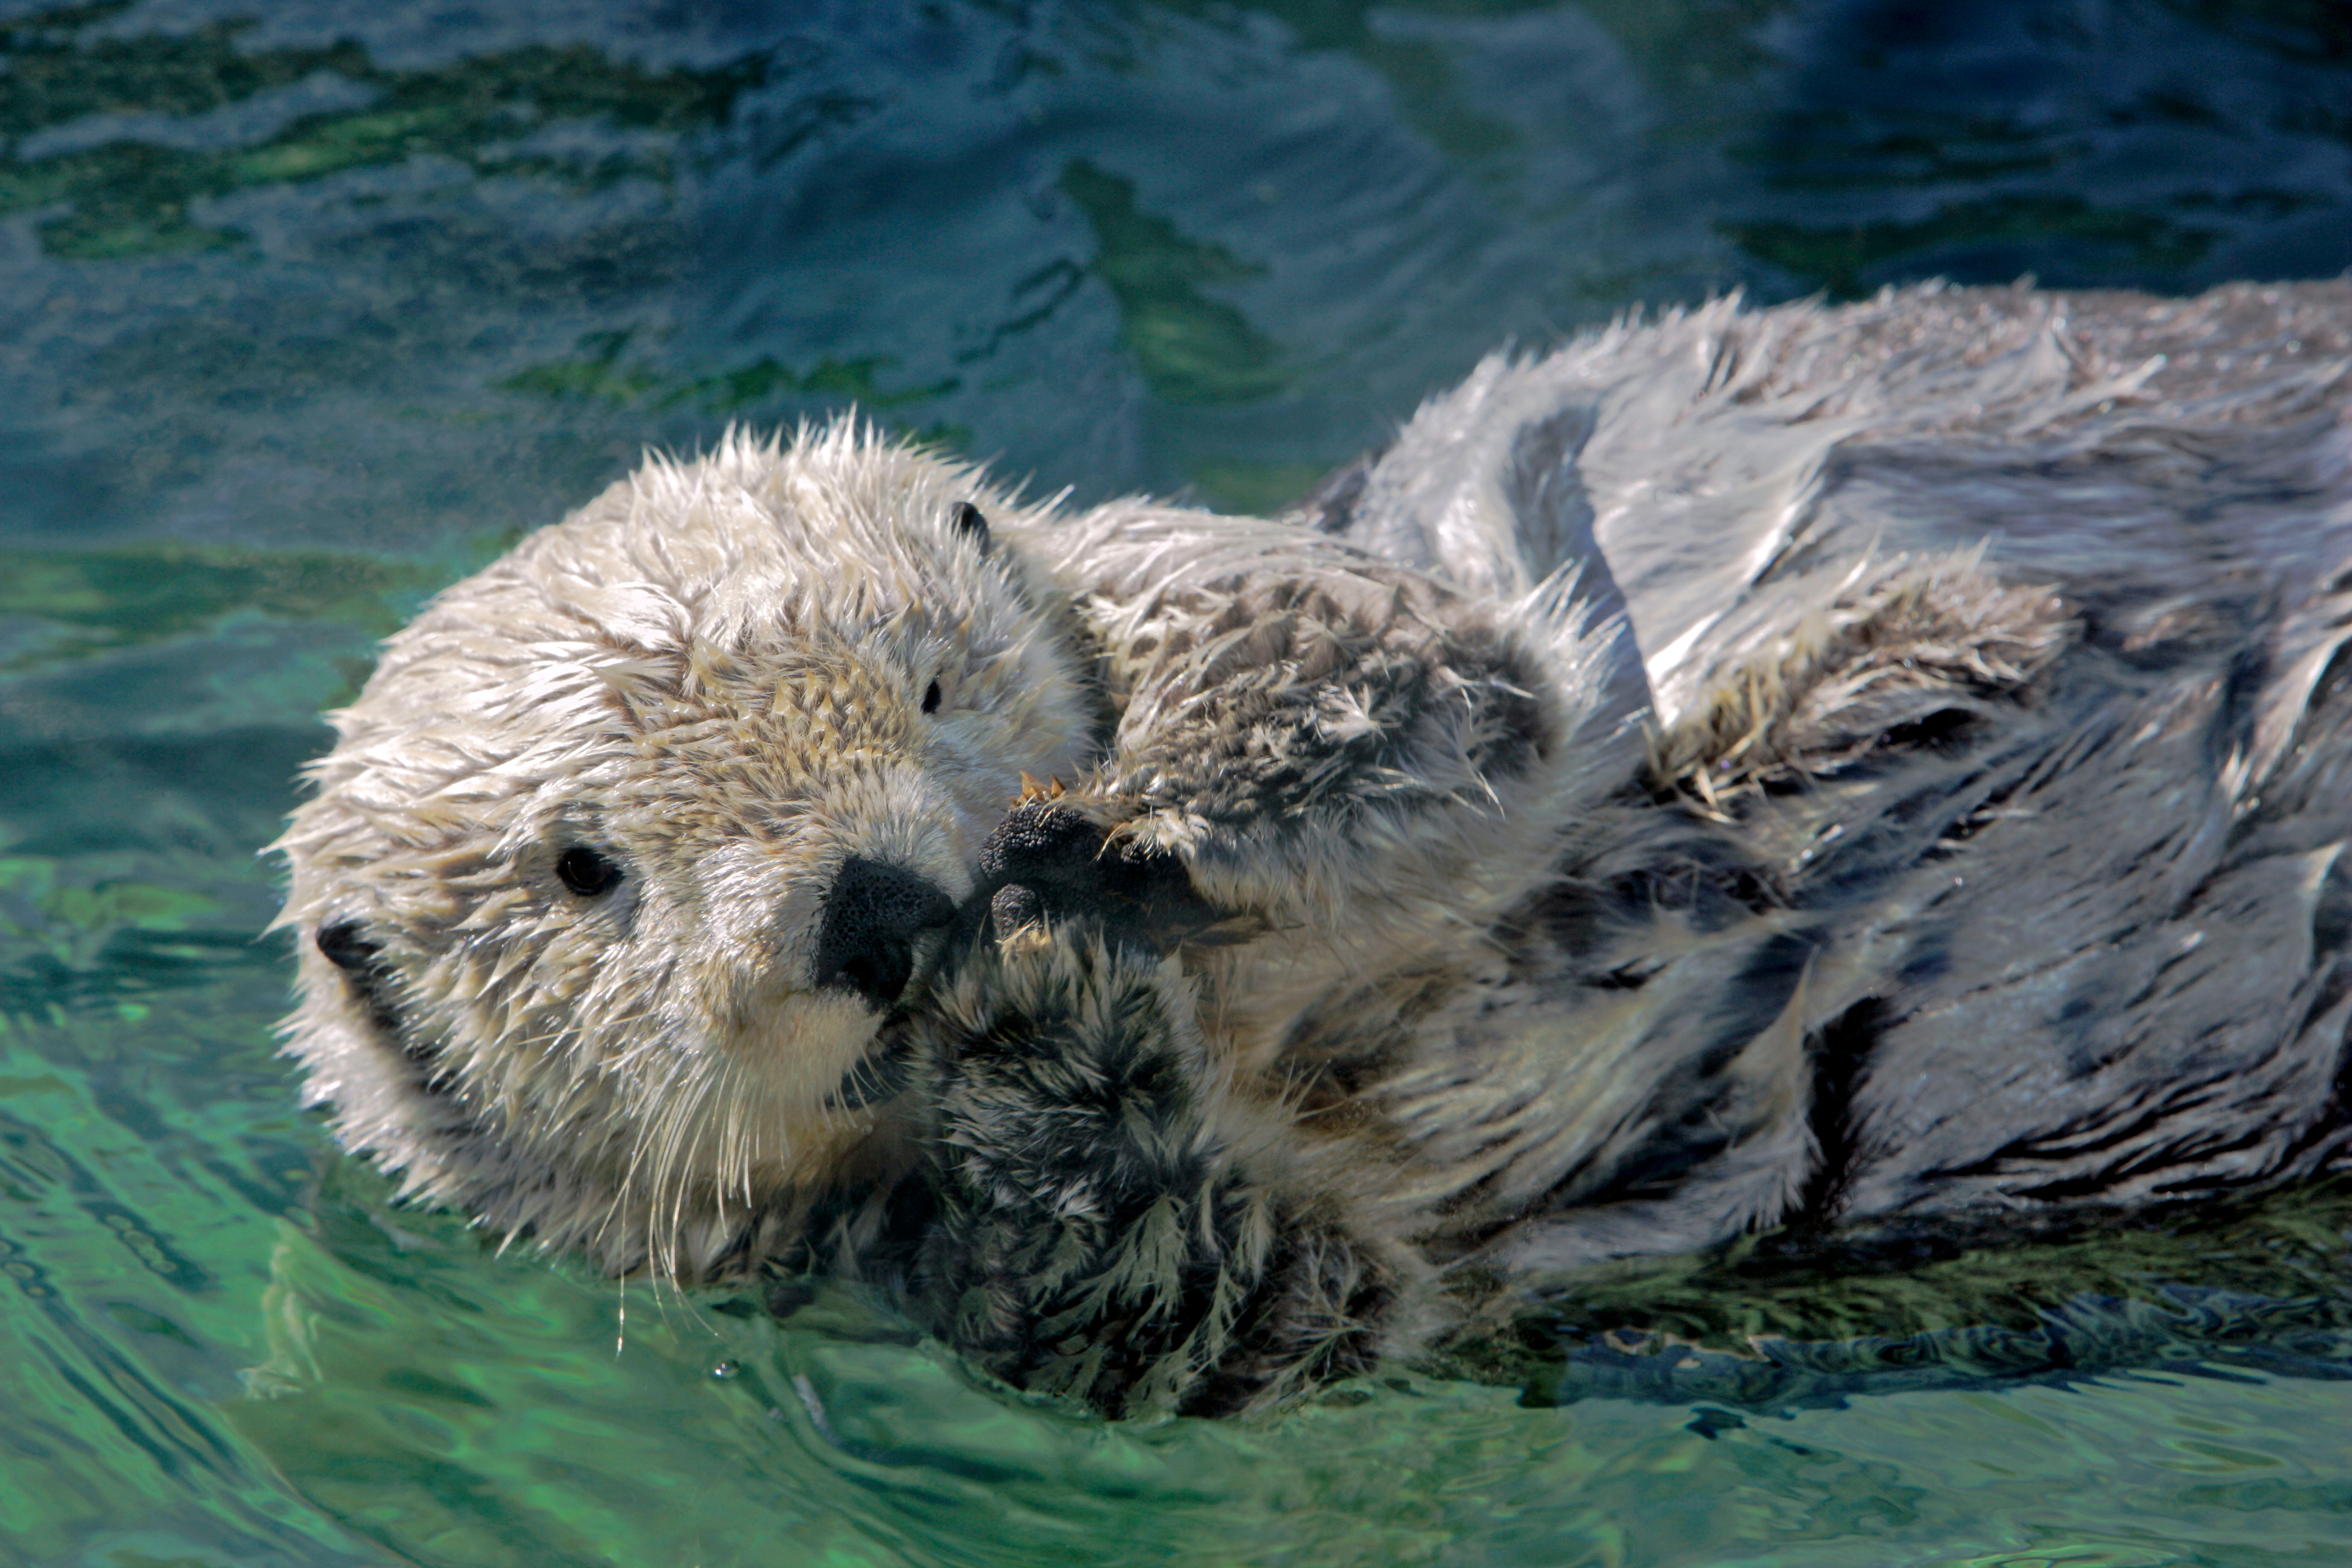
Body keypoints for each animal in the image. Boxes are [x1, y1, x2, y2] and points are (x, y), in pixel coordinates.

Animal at [279, 279, 2352, 1415]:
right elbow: (1192, 1286)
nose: (883, 905)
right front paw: (1033, 1043)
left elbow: (1387, 663)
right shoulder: (1021, 1268)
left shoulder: (1227, 575)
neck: (1257, 1005)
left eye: (929, 682)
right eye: (583, 871)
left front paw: (1112, 825)